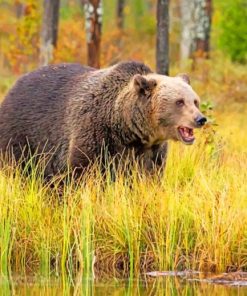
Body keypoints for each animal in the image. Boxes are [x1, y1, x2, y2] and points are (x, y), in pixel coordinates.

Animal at [0, 61, 206, 178]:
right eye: (179, 102)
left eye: (195, 101)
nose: (200, 119)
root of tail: (15, 85)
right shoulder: (94, 133)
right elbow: (81, 171)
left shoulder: (151, 152)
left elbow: (149, 176)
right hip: (22, 134)